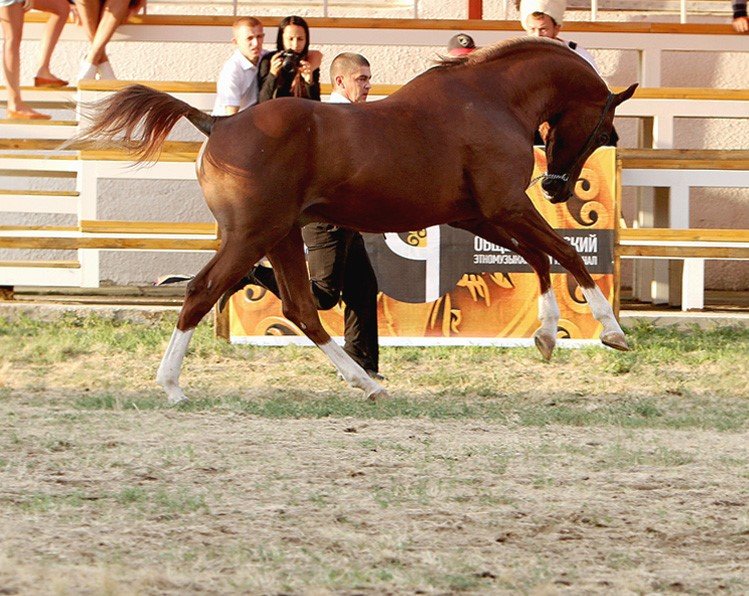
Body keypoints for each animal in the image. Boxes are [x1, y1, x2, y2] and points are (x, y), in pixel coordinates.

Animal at [76, 38, 636, 406]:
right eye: (604, 130)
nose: (556, 187)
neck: (491, 100)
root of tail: (219, 122)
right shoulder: (507, 207)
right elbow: (563, 252)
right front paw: (612, 332)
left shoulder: (481, 215)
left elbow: (541, 257)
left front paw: (546, 336)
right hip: (252, 235)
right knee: (202, 290)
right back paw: (171, 385)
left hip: (279, 236)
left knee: (302, 308)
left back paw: (366, 383)